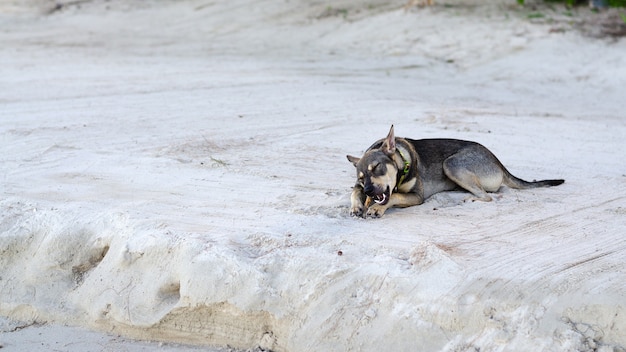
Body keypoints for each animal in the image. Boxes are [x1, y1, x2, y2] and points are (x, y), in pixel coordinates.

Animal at [344, 124, 564, 217]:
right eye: (362, 178)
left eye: (377, 167)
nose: (369, 191)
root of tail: (498, 162)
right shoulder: (358, 186)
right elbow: (353, 192)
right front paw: (357, 206)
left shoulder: (417, 196)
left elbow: (394, 197)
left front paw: (376, 208)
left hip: (452, 165)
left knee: (487, 196)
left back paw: (471, 198)